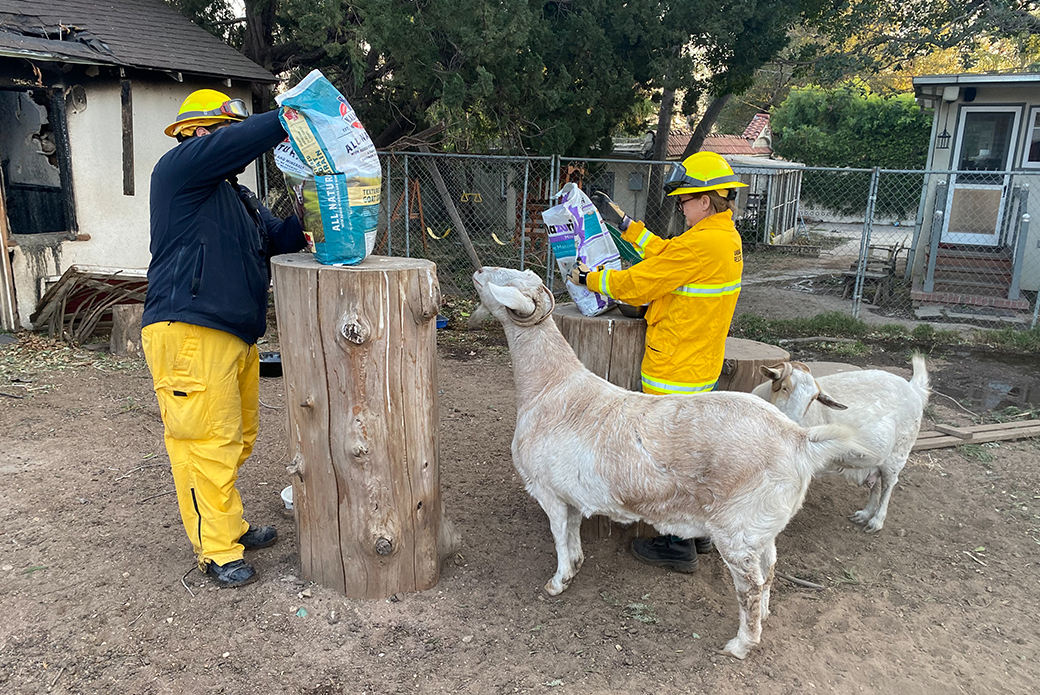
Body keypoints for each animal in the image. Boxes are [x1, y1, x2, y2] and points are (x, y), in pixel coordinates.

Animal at [472, 264, 869, 657]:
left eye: (504, 279)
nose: (478, 271)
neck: (550, 386)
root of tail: (797, 439)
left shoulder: (548, 490)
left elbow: (558, 535)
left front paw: (558, 581)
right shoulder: (570, 494)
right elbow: (571, 532)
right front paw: (576, 567)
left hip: (737, 527)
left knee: (751, 584)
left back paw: (741, 643)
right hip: (762, 523)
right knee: (770, 568)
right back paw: (766, 615)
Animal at [752, 355, 931, 536]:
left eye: (812, 399)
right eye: (784, 387)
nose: (793, 422)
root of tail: (913, 388)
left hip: (898, 453)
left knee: (889, 484)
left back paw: (876, 521)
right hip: (878, 459)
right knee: (877, 483)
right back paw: (864, 514)